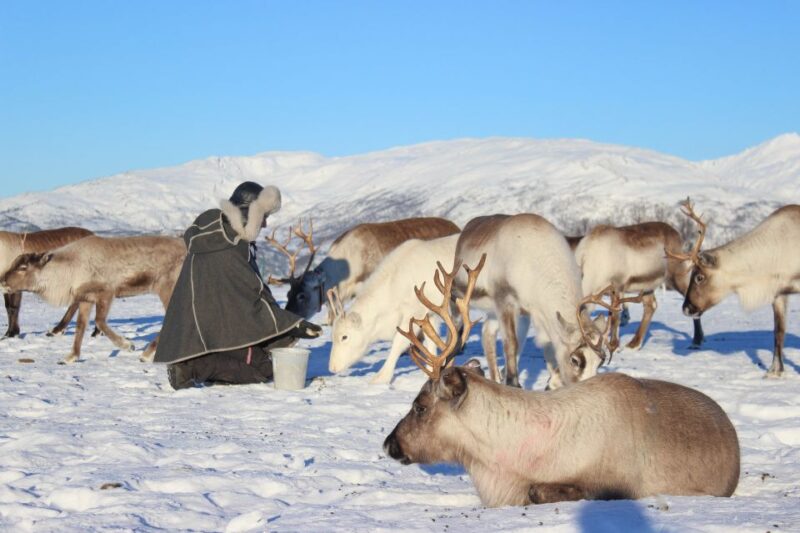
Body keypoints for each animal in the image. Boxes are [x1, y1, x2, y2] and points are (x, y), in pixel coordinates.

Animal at [0, 235, 186, 363]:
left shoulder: (106, 292)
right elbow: (80, 326)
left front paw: (128, 345)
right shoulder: (86, 298)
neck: (67, 272)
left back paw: (146, 354)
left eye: (23, 267)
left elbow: (99, 321)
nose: (2, 281)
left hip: (166, 288)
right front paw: (70, 357)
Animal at [453, 214, 609, 389]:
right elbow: (511, 343)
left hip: (496, 312)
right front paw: (513, 384)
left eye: (600, 361)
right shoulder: (505, 302)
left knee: (487, 334)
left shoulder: (533, 314)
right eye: (575, 360)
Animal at [572, 220, 704, 353]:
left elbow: (615, 318)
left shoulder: (618, 285)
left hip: (676, 275)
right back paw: (634, 344)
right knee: (651, 306)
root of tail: (676, 233)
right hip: (648, 285)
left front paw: (614, 346)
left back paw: (696, 341)